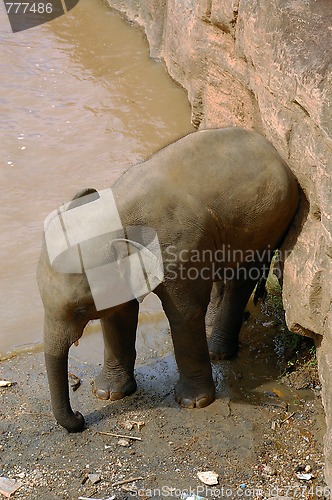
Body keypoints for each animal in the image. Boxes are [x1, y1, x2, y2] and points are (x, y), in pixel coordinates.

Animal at [37, 127, 300, 432]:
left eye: (80, 309)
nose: (80, 419)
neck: (121, 212)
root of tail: (273, 149)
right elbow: (118, 314)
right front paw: (107, 393)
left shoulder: (181, 248)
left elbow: (184, 313)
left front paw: (193, 403)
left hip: (268, 223)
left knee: (241, 278)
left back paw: (218, 352)